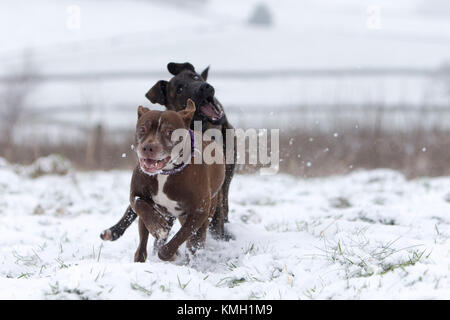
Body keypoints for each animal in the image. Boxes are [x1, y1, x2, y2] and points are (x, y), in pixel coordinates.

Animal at [130, 100, 225, 262]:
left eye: (169, 131)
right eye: (142, 128)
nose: (148, 147)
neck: (165, 172)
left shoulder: (199, 211)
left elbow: (182, 235)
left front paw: (168, 253)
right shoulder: (136, 194)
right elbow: (139, 203)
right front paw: (157, 227)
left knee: (196, 238)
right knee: (143, 234)